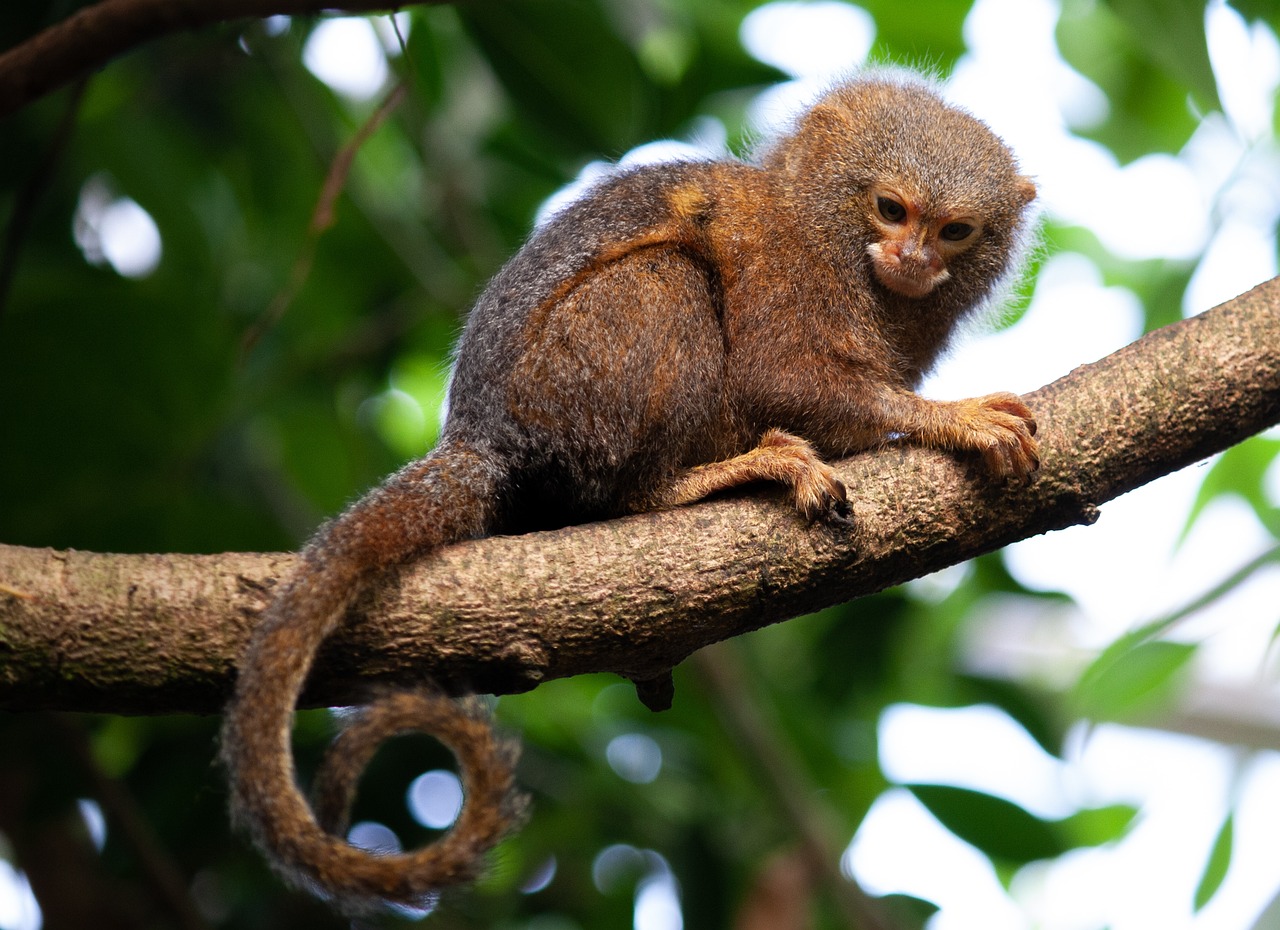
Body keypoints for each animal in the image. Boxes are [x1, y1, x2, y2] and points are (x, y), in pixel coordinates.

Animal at [220, 74, 1039, 915]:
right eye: (890, 209)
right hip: (572, 386)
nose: (913, 257)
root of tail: (483, 439)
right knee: (667, 282)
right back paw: (690, 482)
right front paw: (955, 418)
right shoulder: (781, 254)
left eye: (954, 231)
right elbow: (782, 377)